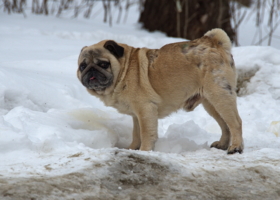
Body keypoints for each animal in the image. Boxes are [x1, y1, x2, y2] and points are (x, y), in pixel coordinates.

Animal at [76, 28, 243, 154]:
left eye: (103, 64)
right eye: (82, 66)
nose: (91, 71)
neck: (124, 70)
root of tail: (214, 42)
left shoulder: (145, 110)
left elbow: (145, 134)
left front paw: (144, 151)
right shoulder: (136, 115)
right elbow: (136, 134)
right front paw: (132, 149)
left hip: (219, 96)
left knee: (235, 123)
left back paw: (235, 147)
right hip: (211, 104)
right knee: (225, 125)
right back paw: (222, 144)